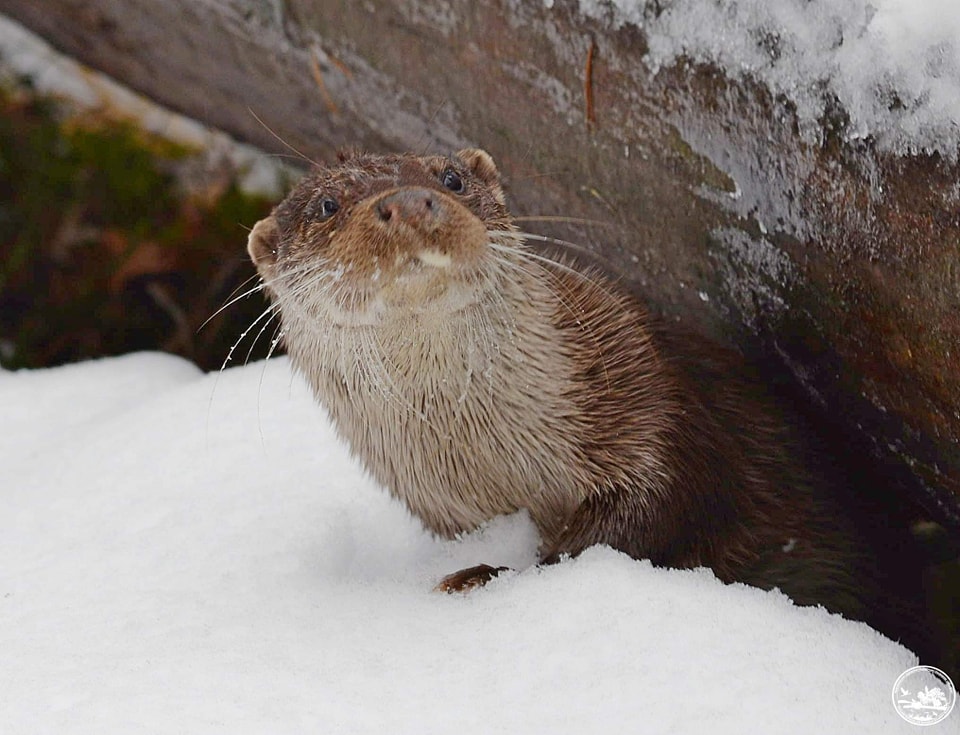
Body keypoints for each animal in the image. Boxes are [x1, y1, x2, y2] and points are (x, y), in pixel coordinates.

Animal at [244, 148, 928, 644]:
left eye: (451, 178)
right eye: (327, 204)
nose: (410, 201)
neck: (503, 462)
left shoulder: (645, 394)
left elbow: (648, 510)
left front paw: (488, 576)